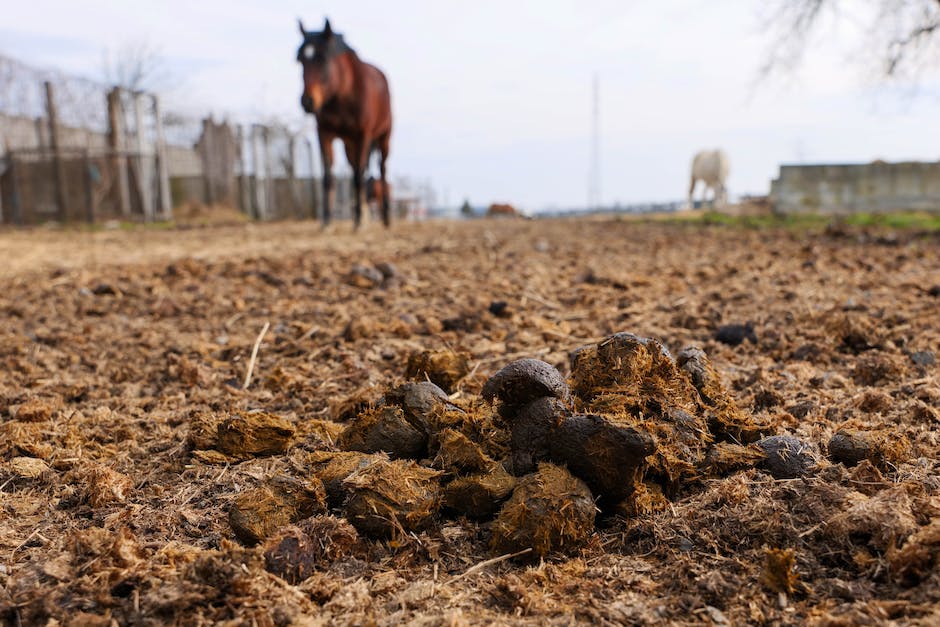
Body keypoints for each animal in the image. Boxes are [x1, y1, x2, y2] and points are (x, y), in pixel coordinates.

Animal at [298, 16, 392, 228]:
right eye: (300, 60)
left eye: (323, 59)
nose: (308, 101)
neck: (341, 94)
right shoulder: (324, 132)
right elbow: (328, 175)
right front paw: (326, 220)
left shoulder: (364, 134)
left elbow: (358, 176)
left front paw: (358, 221)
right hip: (350, 143)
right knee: (357, 167)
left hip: (384, 136)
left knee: (381, 169)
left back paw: (384, 217)